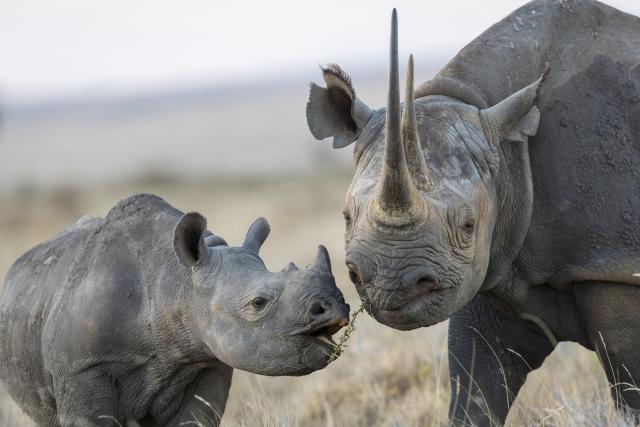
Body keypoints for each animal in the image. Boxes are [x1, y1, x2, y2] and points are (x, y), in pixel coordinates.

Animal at [306, 1, 640, 424]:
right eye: (347, 217)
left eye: (467, 224)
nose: (389, 284)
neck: (509, 149)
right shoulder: (492, 267)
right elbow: (475, 388)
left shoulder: (611, 264)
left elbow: (630, 389)